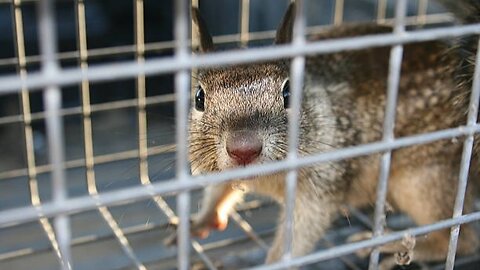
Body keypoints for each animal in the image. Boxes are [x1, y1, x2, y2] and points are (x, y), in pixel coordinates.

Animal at [186, 1, 478, 268]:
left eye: (289, 93)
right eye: (199, 98)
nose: (243, 148)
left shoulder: (323, 184)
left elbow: (300, 234)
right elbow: (218, 190)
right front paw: (201, 220)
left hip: (424, 180)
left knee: (460, 240)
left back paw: (395, 245)